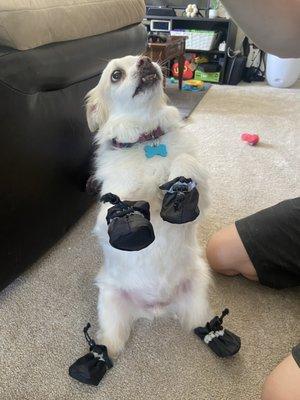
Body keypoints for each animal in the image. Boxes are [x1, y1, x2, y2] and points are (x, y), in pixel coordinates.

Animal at [86, 54, 212, 358]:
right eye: (116, 75)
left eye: (144, 57)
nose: (146, 61)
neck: (146, 138)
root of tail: (156, 308)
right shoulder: (110, 204)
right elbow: (118, 200)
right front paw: (127, 214)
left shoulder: (201, 193)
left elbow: (184, 165)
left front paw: (179, 185)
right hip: (109, 303)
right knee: (110, 342)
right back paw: (95, 359)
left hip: (199, 287)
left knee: (200, 324)